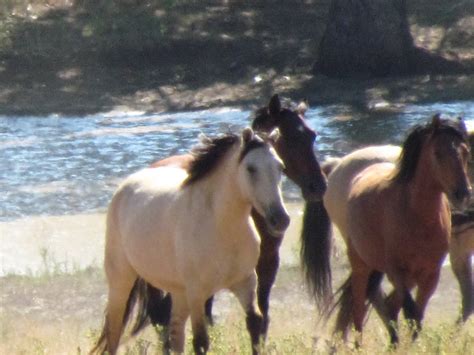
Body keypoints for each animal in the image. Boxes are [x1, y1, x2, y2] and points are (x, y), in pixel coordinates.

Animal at [88, 129, 288, 355]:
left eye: (280, 167)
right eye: (251, 168)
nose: (281, 219)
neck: (222, 225)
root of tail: (125, 186)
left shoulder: (245, 282)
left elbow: (255, 323)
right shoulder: (197, 293)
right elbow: (201, 341)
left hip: (178, 292)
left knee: (174, 332)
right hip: (121, 281)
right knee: (114, 331)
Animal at [126, 94, 328, 342]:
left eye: (311, 135)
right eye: (288, 137)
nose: (318, 186)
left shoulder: (266, 266)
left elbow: (262, 316)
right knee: (161, 316)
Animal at [302, 115, 472, 346]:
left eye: (465, 152)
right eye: (437, 153)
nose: (462, 194)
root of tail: (338, 166)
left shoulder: (432, 272)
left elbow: (420, 316)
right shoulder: (397, 270)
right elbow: (411, 313)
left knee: (385, 303)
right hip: (363, 263)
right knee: (362, 305)